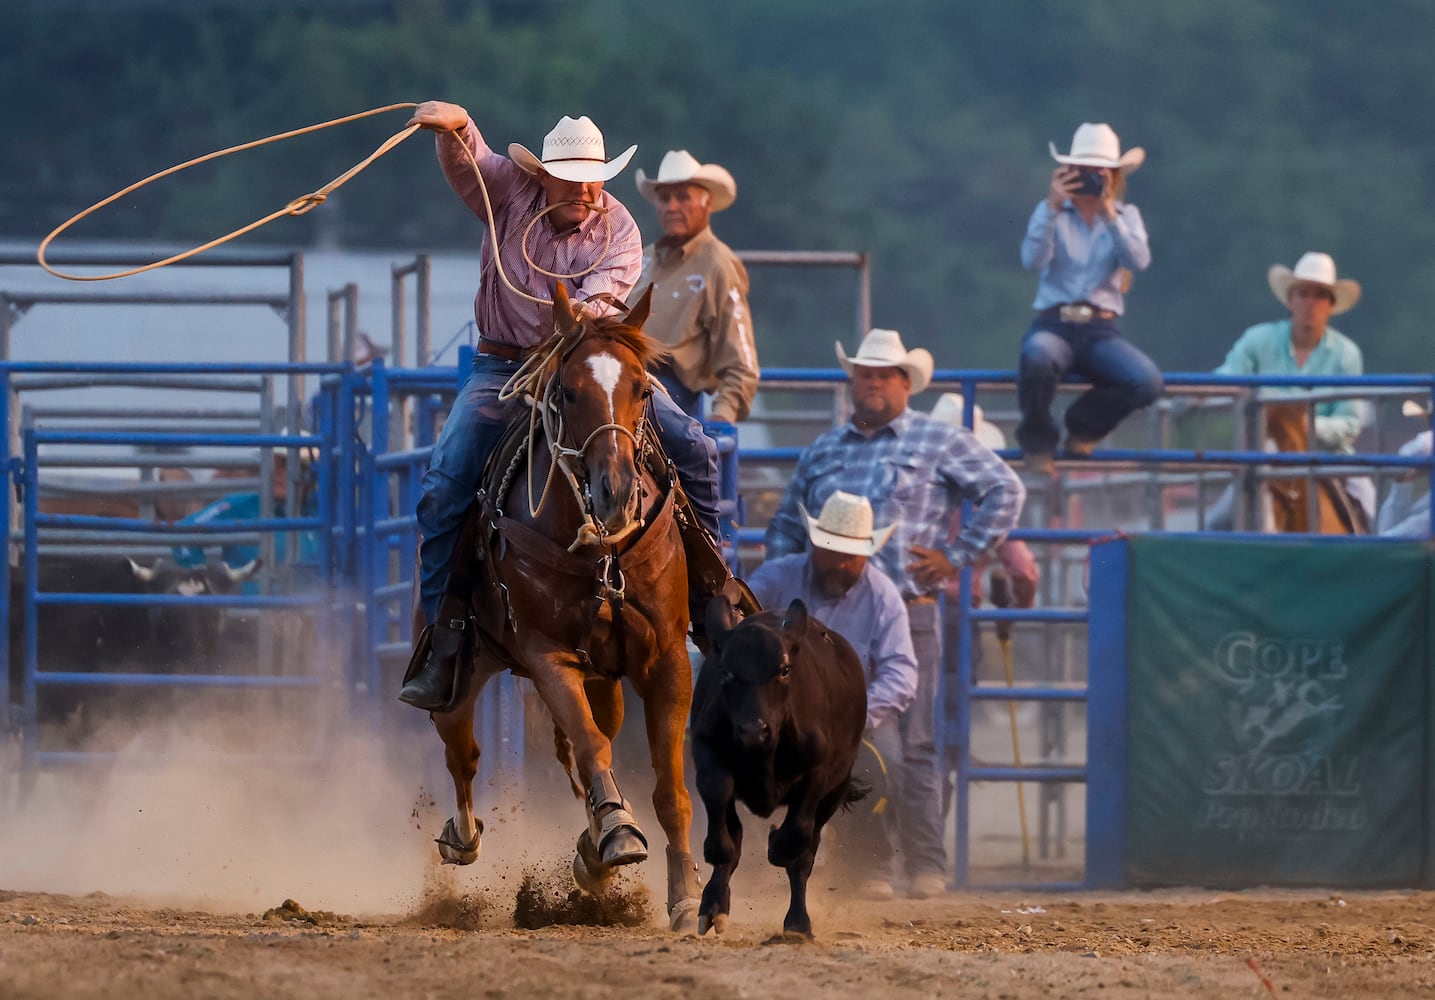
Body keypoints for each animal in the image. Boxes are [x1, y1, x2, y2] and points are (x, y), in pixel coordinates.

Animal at [419, 284, 700, 929]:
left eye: (643, 388)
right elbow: (592, 744)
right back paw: (465, 837)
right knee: (463, 749)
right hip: (465, 666)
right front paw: (618, 833)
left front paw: (687, 897)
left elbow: (670, 788)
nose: (616, 492)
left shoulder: (668, 659)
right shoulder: (548, 657)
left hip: (605, 678)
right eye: (568, 391)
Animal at [691, 593, 866, 935]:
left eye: (784, 669)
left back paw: (797, 921)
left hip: (836, 789)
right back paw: (715, 905)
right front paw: (717, 866)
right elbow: (720, 809)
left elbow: (797, 837)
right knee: (736, 835)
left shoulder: (819, 772)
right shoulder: (706, 749)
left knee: (805, 853)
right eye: (726, 671)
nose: (752, 730)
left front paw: (776, 846)